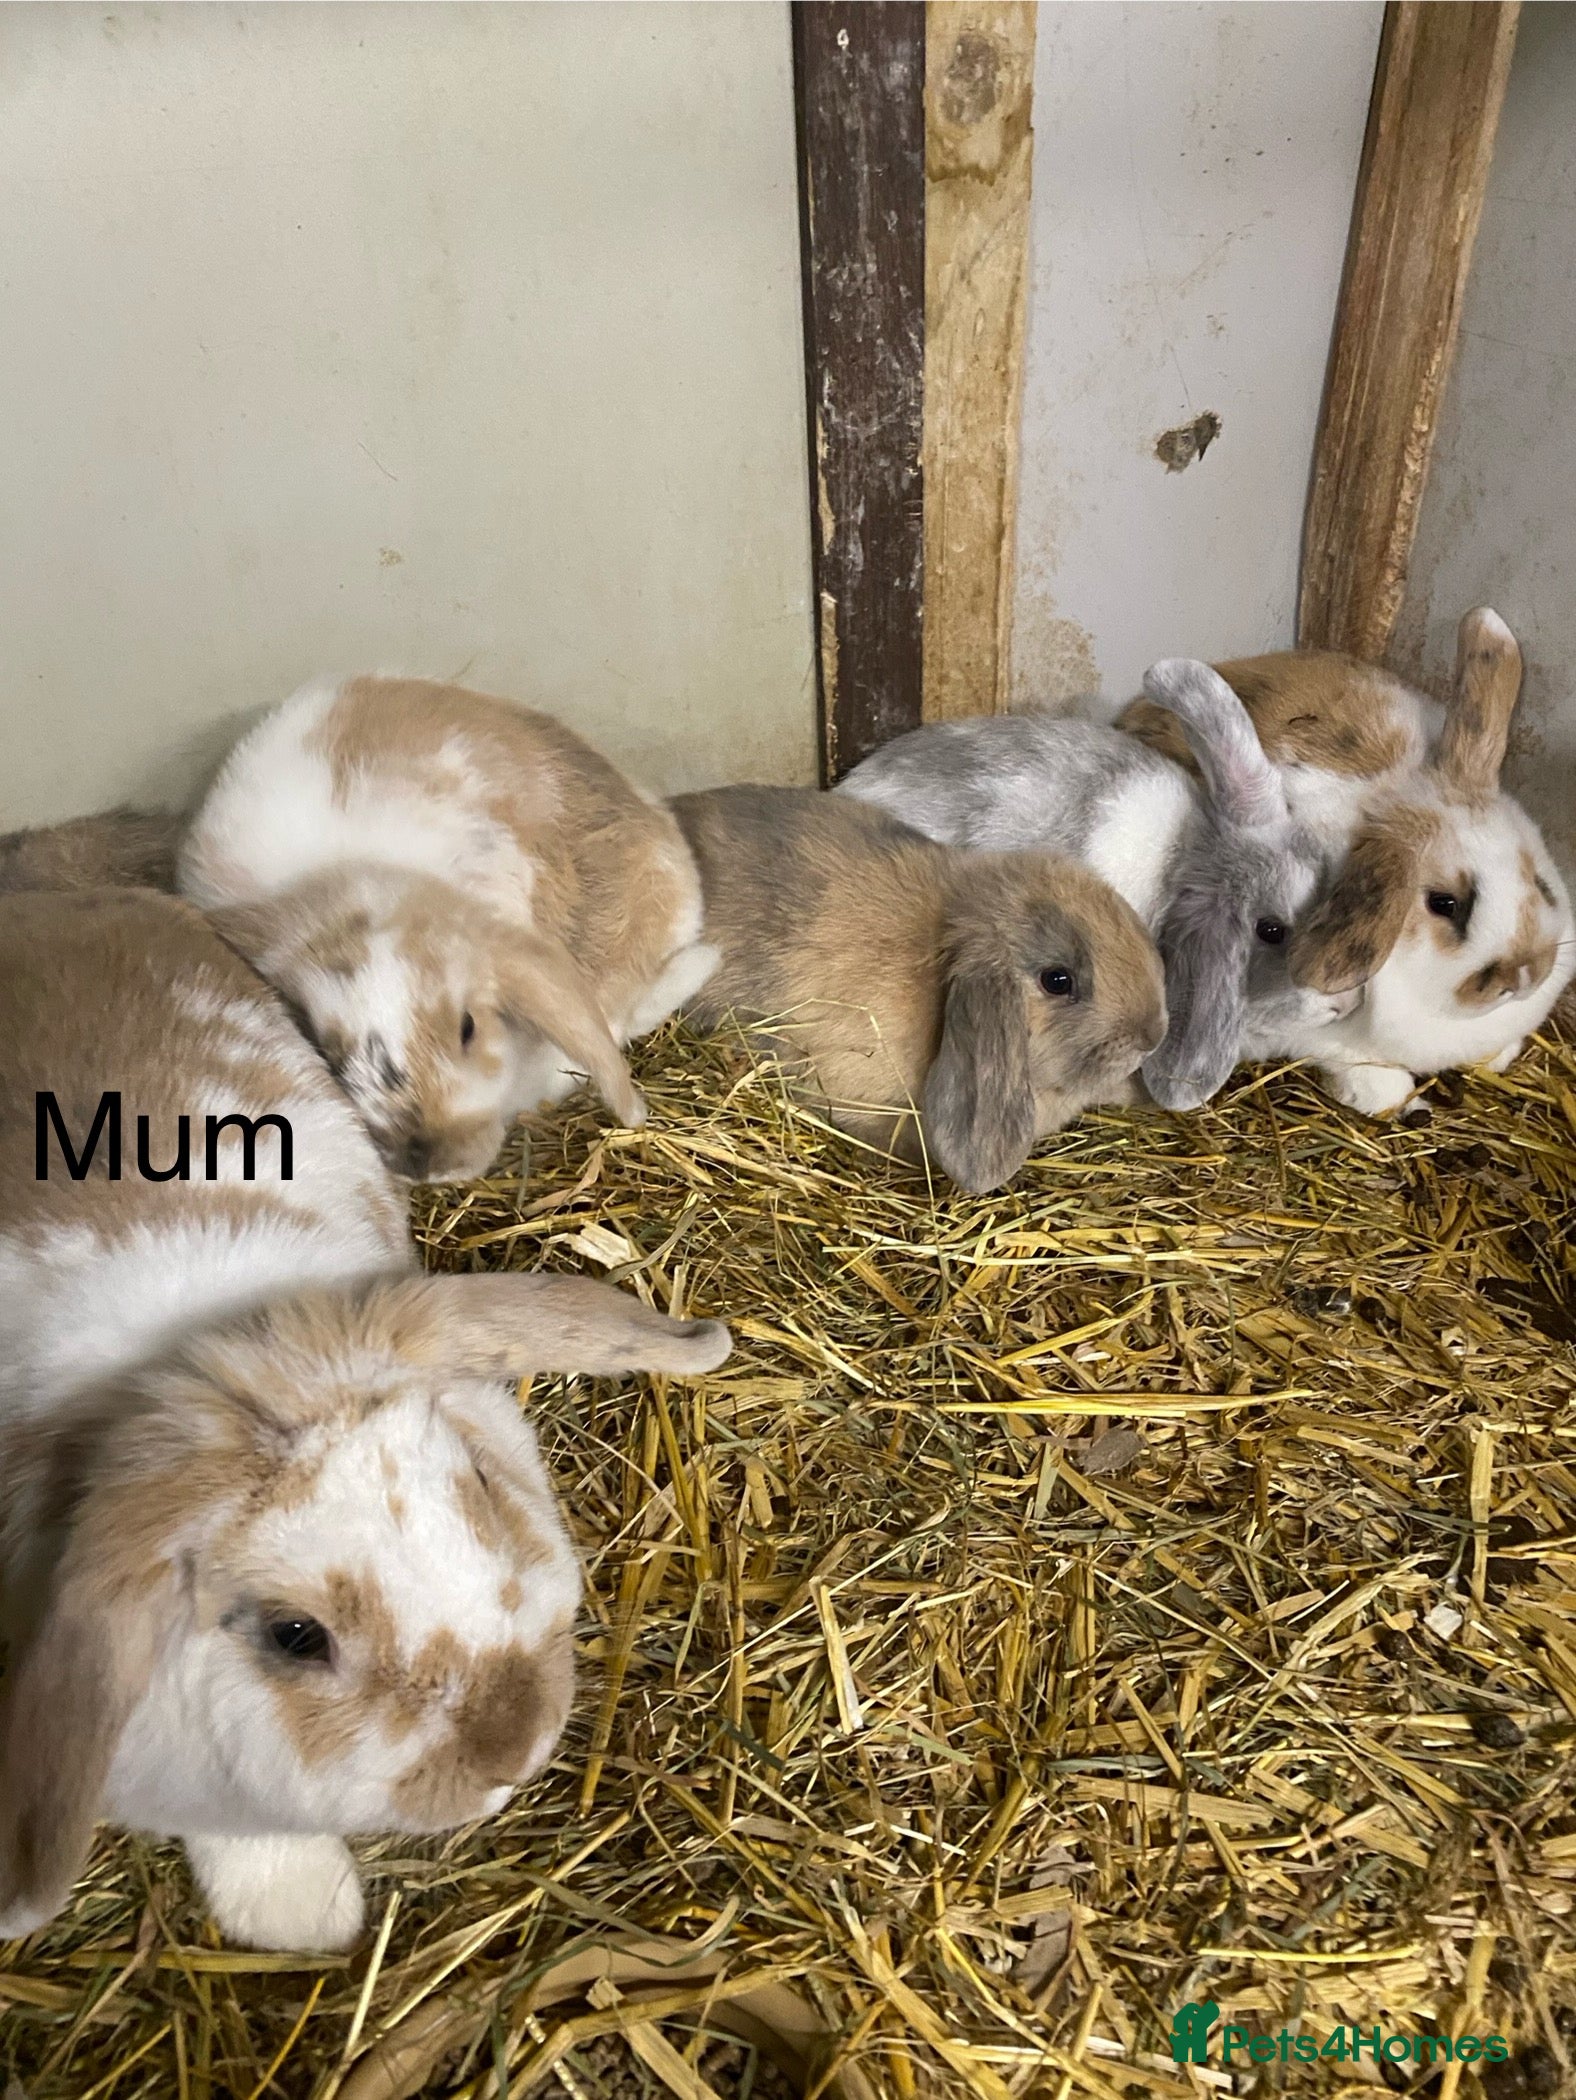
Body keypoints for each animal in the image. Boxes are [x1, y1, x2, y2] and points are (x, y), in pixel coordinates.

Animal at [1117, 609, 1576, 1114]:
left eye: (1540, 882)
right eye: (1445, 904)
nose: (1526, 975)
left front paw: (1501, 1055)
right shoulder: (1316, 1033)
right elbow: (1360, 1068)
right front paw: (1389, 1096)